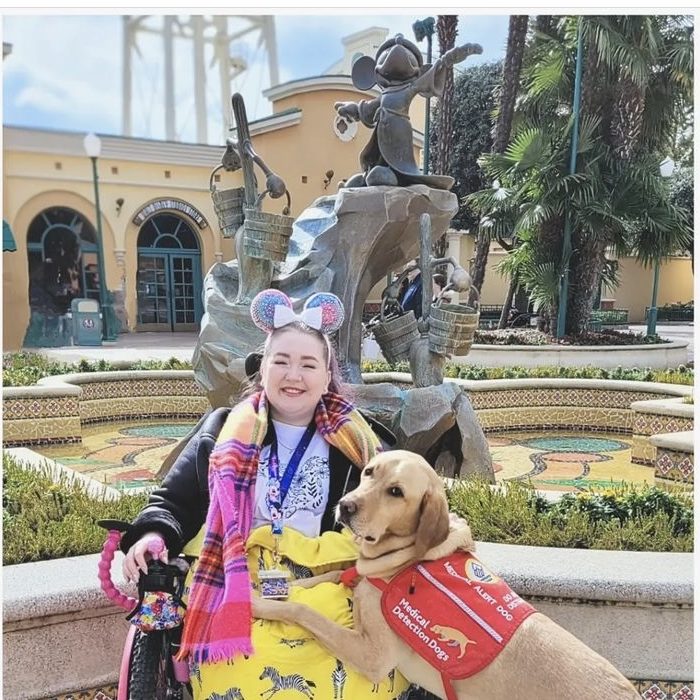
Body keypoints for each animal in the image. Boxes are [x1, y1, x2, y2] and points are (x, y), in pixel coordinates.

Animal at [254, 452, 644, 696]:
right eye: (369, 472)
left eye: (396, 492)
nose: (346, 506)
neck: (407, 559)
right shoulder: (356, 579)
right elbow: (322, 578)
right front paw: (270, 586)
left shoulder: (373, 656)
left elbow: (304, 610)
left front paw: (260, 605)